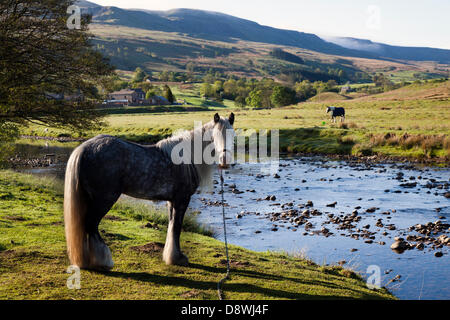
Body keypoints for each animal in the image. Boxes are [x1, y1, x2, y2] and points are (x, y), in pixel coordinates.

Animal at [65, 112, 237, 270]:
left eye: (233, 135)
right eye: (215, 135)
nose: (225, 162)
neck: (186, 159)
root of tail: (83, 149)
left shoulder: (172, 201)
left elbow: (171, 226)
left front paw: (170, 256)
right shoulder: (181, 199)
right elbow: (177, 227)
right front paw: (178, 258)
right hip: (104, 199)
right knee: (91, 225)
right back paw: (104, 260)